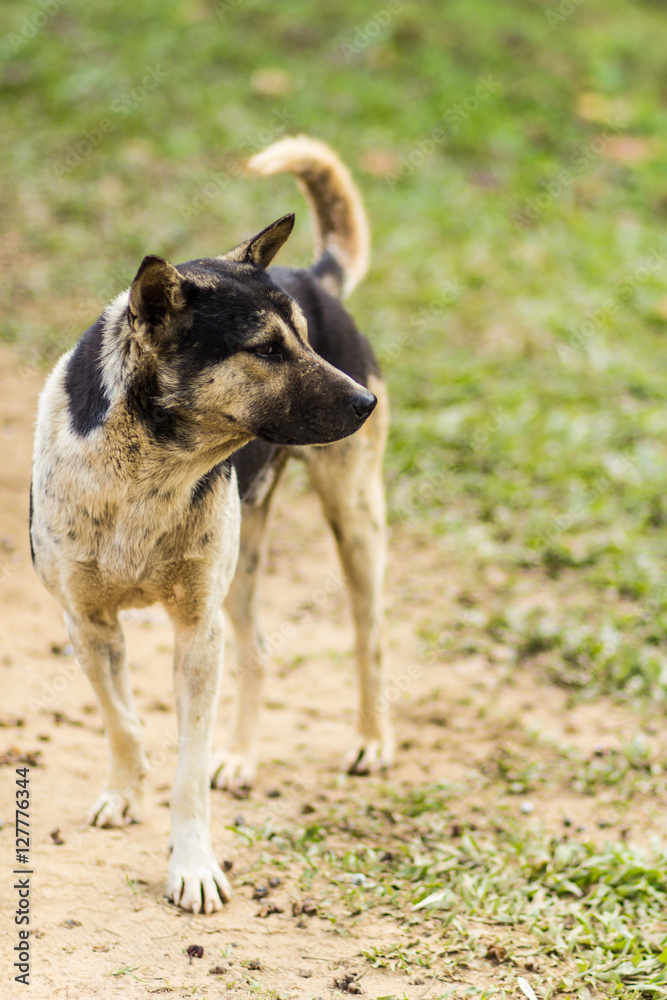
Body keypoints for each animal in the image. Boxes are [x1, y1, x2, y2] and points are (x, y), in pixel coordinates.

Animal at [31, 135, 394, 916]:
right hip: (243, 561)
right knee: (256, 648)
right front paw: (124, 792)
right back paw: (242, 756)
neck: (148, 471)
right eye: (265, 349)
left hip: (354, 517)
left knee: (369, 637)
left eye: (304, 339)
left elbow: (188, 770)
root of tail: (311, 270)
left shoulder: (197, 631)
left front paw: (192, 866)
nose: (366, 402)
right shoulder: (87, 621)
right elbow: (123, 720)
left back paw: (371, 741)